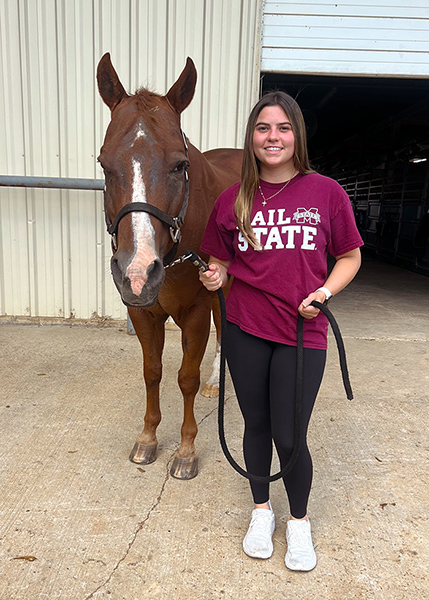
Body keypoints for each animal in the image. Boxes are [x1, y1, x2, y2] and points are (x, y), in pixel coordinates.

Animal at [98, 55, 244, 478]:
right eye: (103, 164)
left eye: (180, 165)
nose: (137, 272)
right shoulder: (142, 312)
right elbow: (153, 372)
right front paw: (148, 439)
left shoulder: (195, 310)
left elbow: (186, 378)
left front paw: (186, 449)